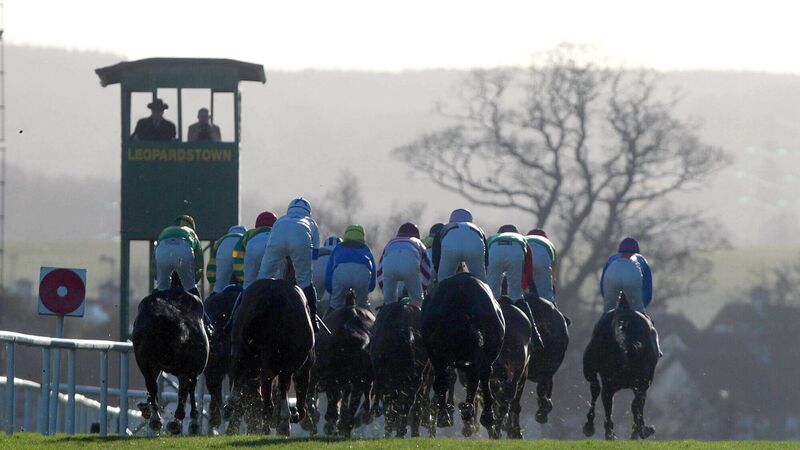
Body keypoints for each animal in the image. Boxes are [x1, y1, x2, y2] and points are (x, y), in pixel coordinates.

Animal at [132, 286, 209, 435]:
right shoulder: (192, 367)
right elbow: (190, 389)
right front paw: (193, 422)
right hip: (186, 367)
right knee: (184, 389)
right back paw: (176, 421)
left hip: (145, 360)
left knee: (151, 384)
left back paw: (156, 419)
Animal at [225, 278, 314, 436]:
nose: (302, 414)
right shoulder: (299, 365)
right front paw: (285, 422)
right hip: (275, 359)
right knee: (270, 389)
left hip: (242, 349)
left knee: (241, 376)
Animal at [422, 272, 505, 436]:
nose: (466, 409)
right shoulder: (436, 354)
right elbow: (441, 381)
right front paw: (444, 415)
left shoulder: (483, 358)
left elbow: (481, 378)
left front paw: (484, 415)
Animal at [582, 293, 659, 440]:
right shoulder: (643, 382)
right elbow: (638, 405)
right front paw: (641, 430)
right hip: (638, 381)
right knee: (632, 402)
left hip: (594, 371)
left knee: (598, 391)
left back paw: (603, 431)